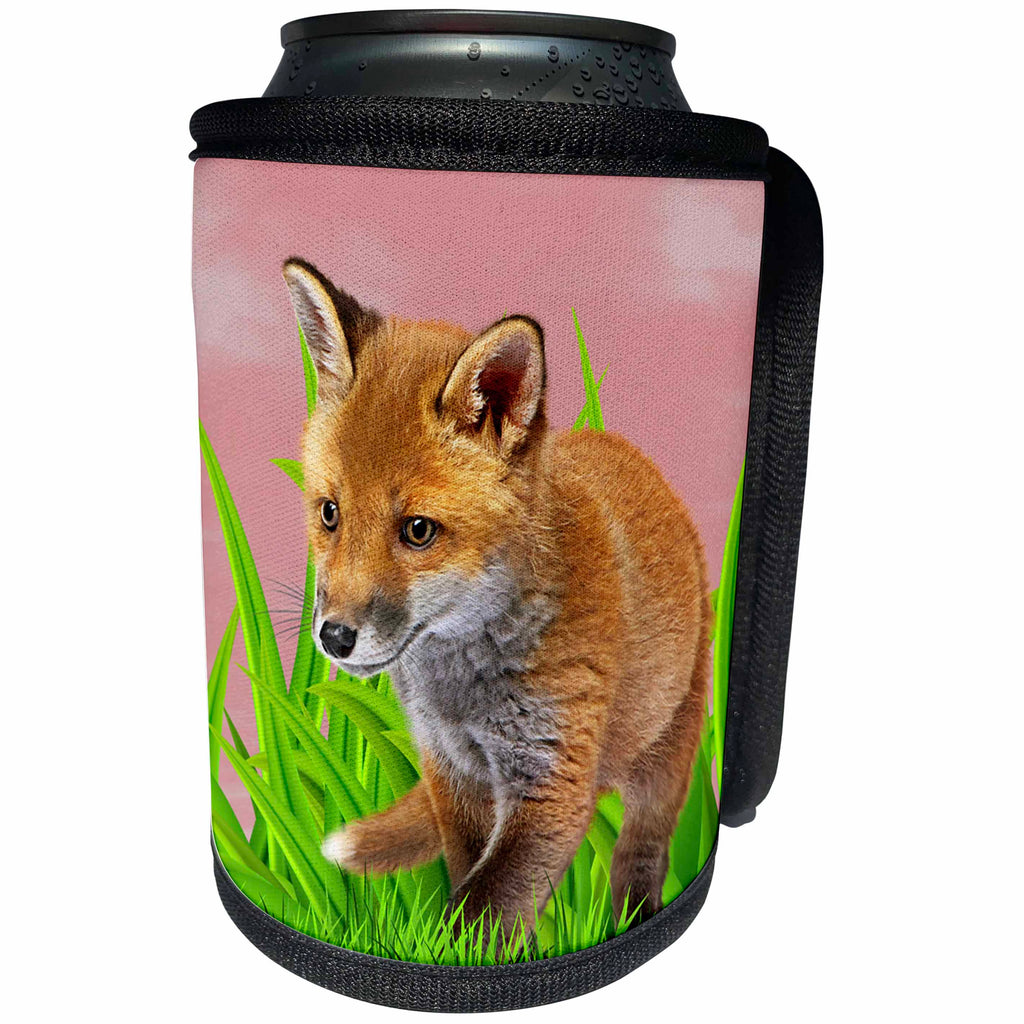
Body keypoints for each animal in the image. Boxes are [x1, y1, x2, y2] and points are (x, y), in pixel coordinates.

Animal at [282, 258, 712, 939]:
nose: (334, 637)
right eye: (330, 513)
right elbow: (468, 879)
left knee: (643, 848)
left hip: (670, 740)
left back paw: (632, 916)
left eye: (418, 530)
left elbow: (483, 909)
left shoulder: (553, 777)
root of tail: (634, 456)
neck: (464, 689)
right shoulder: (452, 770)